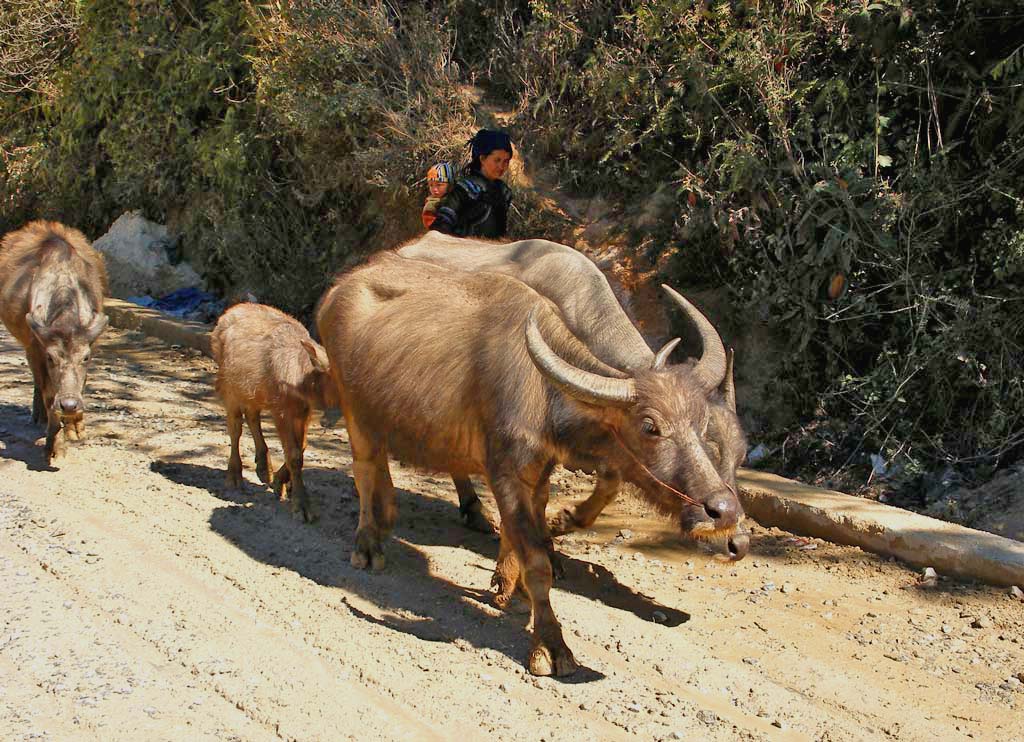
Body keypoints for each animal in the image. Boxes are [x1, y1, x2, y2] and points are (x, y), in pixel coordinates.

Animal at [0, 221, 109, 462]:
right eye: (51, 358)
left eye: (85, 357)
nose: (68, 404)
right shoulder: (35, 348)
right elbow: (48, 393)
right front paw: (54, 446)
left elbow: (80, 384)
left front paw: (76, 428)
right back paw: (38, 416)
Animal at [397, 234, 745, 548]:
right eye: (651, 427)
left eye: (703, 425)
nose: (733, 532)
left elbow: (611, 479)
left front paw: (563, 521)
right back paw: (473, 509)